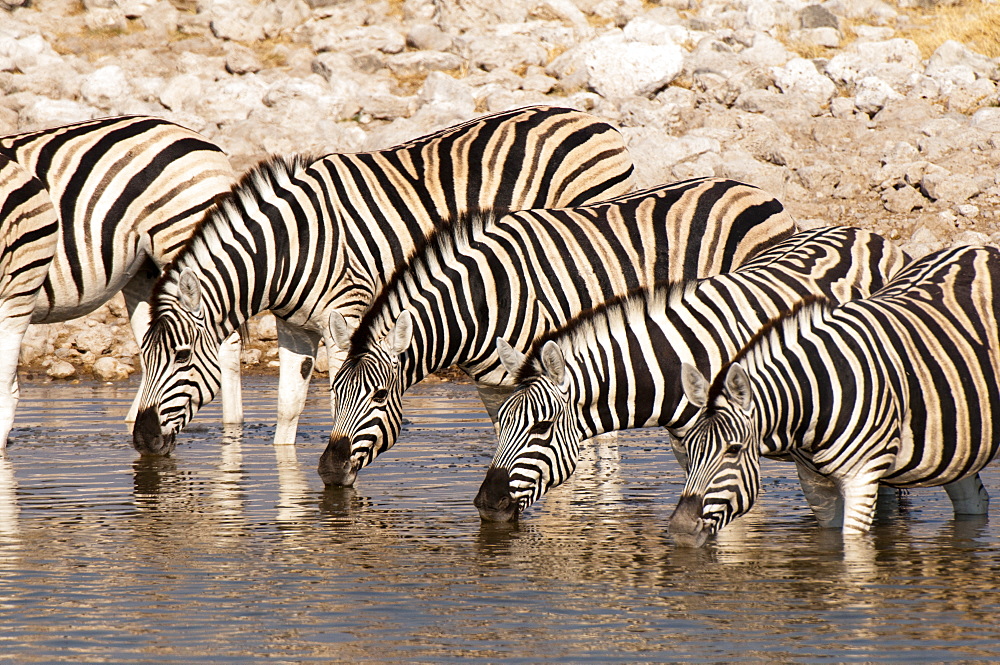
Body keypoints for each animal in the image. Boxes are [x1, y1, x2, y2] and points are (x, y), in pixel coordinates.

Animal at [133, 106, 636, 454]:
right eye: (144, 359)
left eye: (181, 356)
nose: (141, 441)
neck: (291, 245)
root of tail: (596, 120)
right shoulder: (294, 326)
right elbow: (288, 405)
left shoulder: (347, 314)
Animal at [320, 178, 796, 482]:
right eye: (333, 394)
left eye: (380, 396)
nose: (328, 471)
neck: (484, 298)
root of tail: (756, 190)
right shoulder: (496, 387)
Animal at [472, 226, 912, 520]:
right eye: (501, 422)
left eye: (542, 427)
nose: (486, 504)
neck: (680, 362)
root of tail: (866, 233)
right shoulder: (690, 454)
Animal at [672, 244, 1000, 544]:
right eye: (688, 448)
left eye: (733, 450)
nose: (682, 531)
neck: (814, 400)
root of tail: (982, 248)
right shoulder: (815, 483)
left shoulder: (862, 477)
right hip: (958, 442)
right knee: (973, 499)